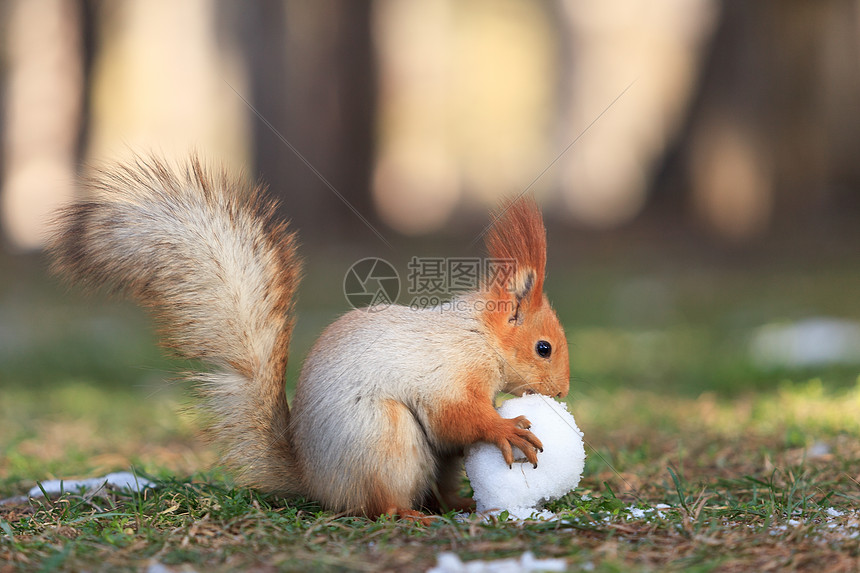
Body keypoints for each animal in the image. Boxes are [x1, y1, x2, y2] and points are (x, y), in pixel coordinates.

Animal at [48, 154, 572, 520]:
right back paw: (407, 514)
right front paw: (506, 428)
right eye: (543, 348)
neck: (478, 337)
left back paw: (458, 505)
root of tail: (316, 482)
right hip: (382, 440)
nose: (564, 392)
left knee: (434, 490)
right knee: (377, 505)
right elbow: (457, 418)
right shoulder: (450, 374)